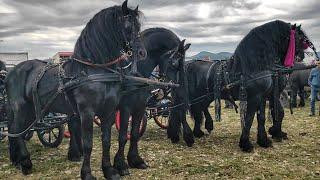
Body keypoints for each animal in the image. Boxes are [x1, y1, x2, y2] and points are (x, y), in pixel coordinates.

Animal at [5, 1, 146, 179]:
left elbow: (106, 141)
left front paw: (109, 170)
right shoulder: (87, 112)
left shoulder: (109, 111)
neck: (94, 70)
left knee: (18, 131)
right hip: (21, 107)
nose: (142, 53)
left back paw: (16, 160)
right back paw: (25, 163)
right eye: (128, 26)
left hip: (31, 110)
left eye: (138, 26)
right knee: (16, 130)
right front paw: (87, 173)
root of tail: (12, 71)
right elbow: (88, 144)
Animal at [114, 28, 190, 176]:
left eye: (184, 63)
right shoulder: (126, 108)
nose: (175, 88)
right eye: (174, 63)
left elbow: (134, 133)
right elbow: (123, 136)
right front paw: (121, 165)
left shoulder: (139, 107)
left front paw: (135, 160)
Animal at [169, 20, 316, 152]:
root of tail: (185, 65)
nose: (302, 57)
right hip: (187, 96)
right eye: (301, 37)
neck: (255, 66)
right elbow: (249, 118)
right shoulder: (255, 97)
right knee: (181, 112)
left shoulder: (264, 96)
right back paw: (188, 137)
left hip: (201, 96)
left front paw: (265, 139)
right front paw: (246, 143)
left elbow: (264, 117)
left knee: (196, 110)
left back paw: (192, 132)